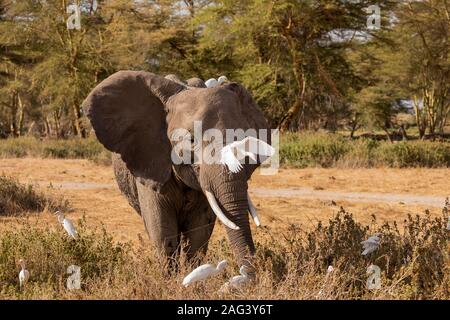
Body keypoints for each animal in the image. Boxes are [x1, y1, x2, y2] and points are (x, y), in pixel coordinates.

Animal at [81, 70, 270, 276]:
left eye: (246, 140)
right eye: (192, 140)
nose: (248, 276)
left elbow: (199, 230)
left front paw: (191, 277)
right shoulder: (150, 162)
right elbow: (162, 228)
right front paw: (171, 280)